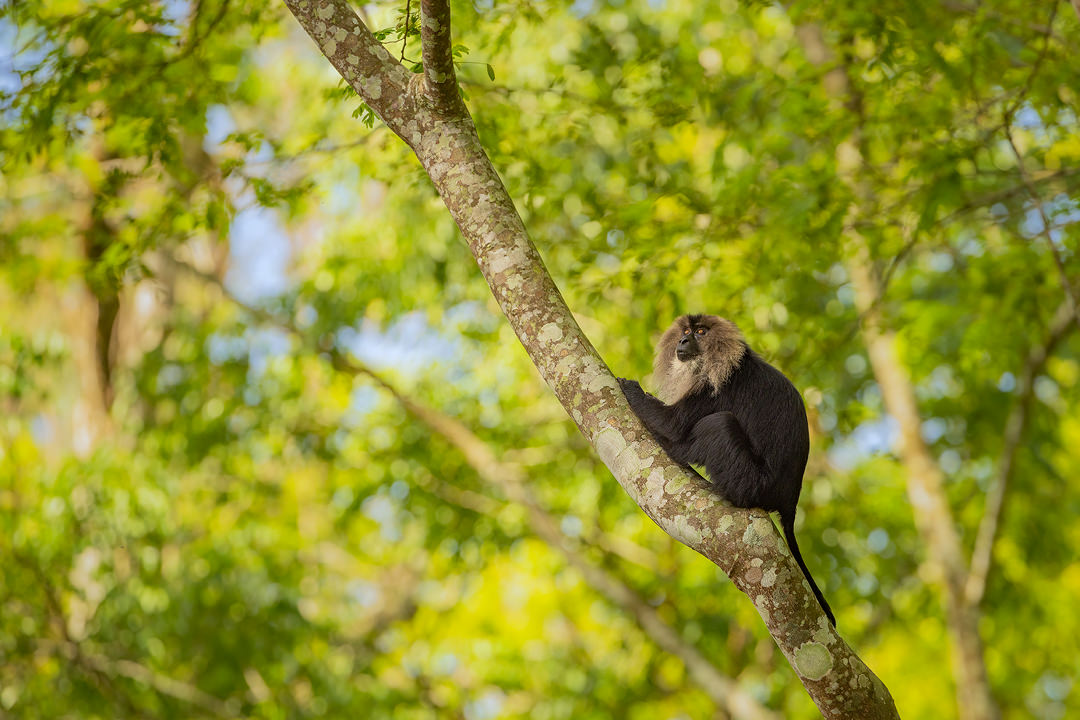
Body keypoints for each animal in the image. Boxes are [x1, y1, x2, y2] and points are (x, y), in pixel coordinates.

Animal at [617, 313, 833, 626]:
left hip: (749, 479)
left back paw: (676, 450)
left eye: (700, 332)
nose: (683, 340)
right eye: (685, 331)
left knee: (718, 424)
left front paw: (629, 386)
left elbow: (672, 423)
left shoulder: (714, 389)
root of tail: (789, 500)